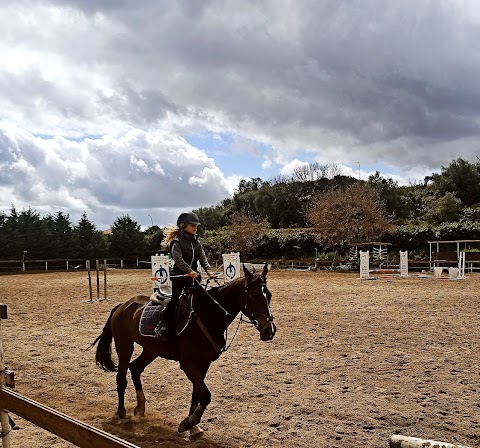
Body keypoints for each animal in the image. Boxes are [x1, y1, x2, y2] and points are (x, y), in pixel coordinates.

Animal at [92, 264, 276, 440]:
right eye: (254, 295)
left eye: (269, 295)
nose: (269, 330)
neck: (209, 315)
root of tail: (122, 306)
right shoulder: (188, 365)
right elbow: (206, 395)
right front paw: (190, 422)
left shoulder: (203, 364)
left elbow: (197, 395)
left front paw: (192, 425)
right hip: (125, 346)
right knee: (121, 378)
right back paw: (122, 413)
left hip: (151, 350)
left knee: (135, 368)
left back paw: (140, 407)